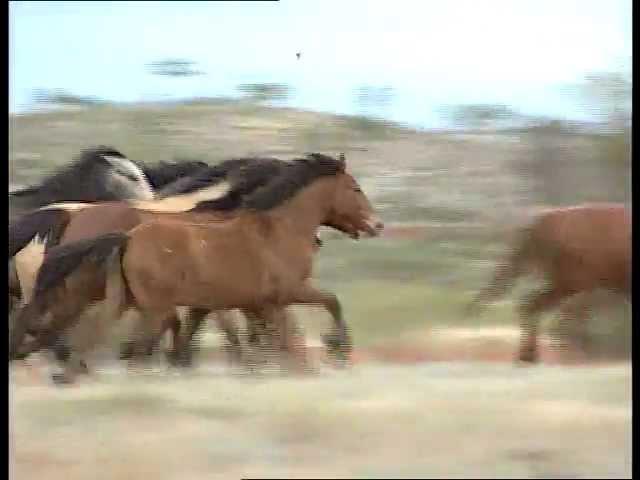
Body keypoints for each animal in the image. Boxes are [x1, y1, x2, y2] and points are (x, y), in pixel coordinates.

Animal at [10, 152, 382, 384]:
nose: (376, 225)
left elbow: (262, 332)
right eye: (356, 188)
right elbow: (320, 308)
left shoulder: (239, 300)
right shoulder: (277, 293)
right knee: (55, 326)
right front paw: (335, 350)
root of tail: (69, 213)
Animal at [464, 202, 632, 364]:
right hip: (570, 281)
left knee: (533, 304)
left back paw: (531, 355)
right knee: (535, 305)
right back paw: (533, 355)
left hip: (567, 282)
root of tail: (537, 225)